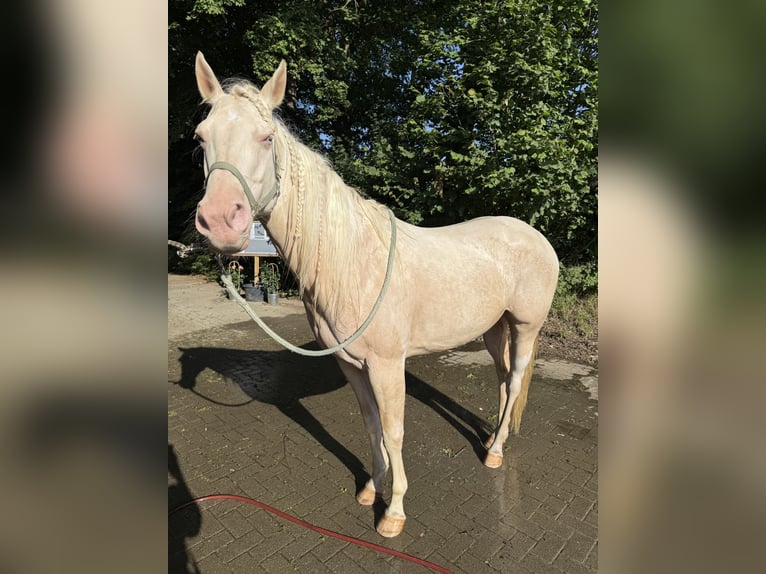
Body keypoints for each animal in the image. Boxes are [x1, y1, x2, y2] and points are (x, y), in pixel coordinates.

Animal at [191, 52, 559, 538]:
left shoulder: (387, 366)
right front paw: (371, 488)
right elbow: (371, 426)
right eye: (201, 137)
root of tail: (536, 236)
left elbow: (394, 429)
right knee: (502, 380)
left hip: (526, 326)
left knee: (515, 379)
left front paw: (394, 512)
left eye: (266, 137)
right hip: (493, 327)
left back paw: (494, 452)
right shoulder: (351, 364)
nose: (219, 221)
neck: (352, 262)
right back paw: (489, 438)